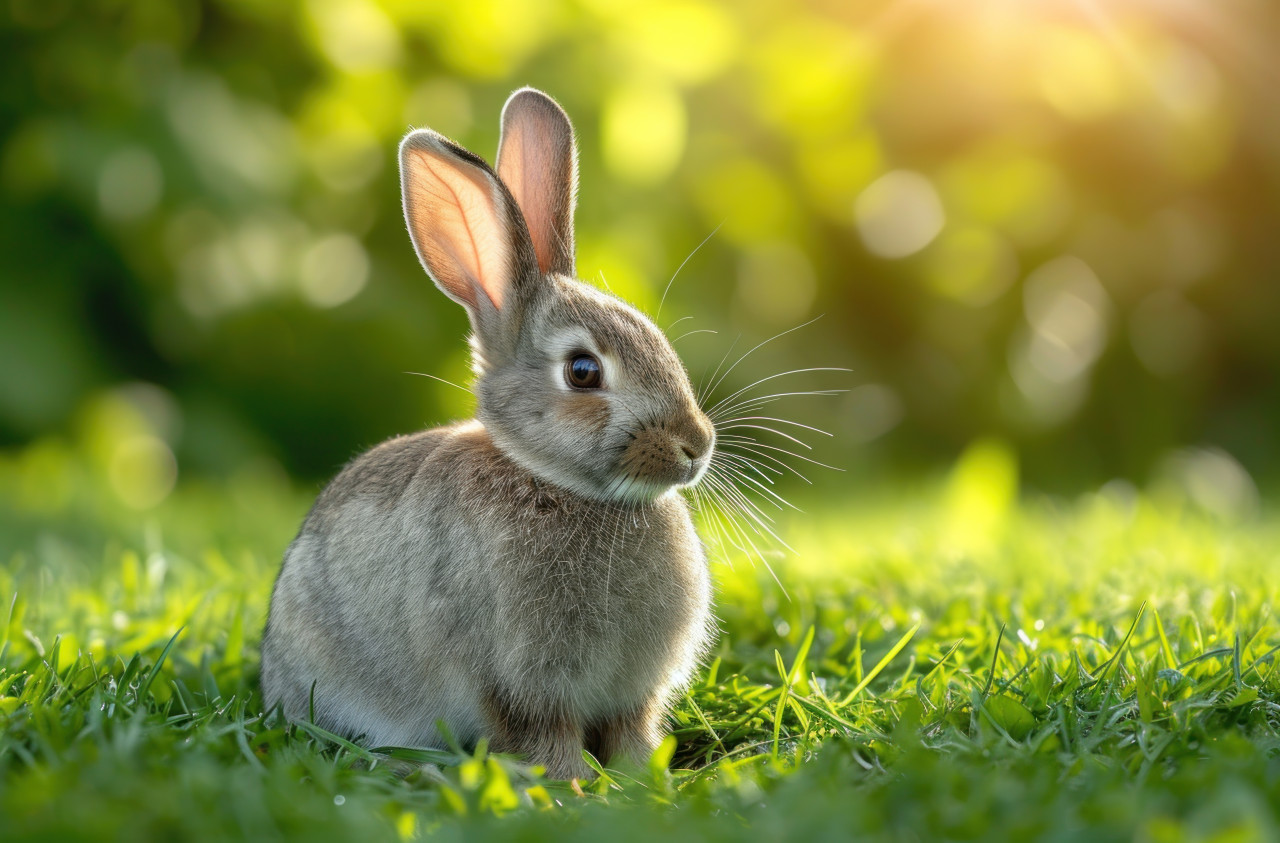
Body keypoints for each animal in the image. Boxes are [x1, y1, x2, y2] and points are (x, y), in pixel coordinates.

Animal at [261, 88, 716, 780]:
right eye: (583, 371)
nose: (697, 445)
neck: (561, 486)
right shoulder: (516, 684)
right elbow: (545, 739)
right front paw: (575, 787)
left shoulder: (630, 696)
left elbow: (631, 733)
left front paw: (646, 779)